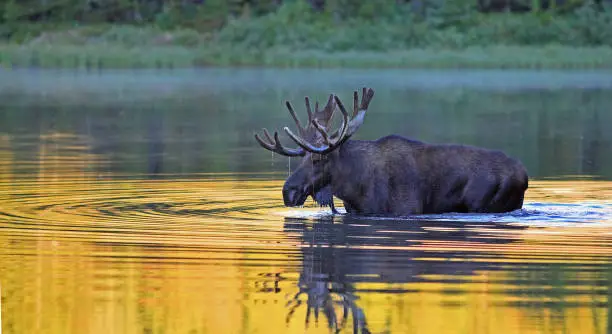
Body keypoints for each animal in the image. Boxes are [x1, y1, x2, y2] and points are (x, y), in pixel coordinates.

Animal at [251, 87, 528, 217]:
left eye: (319, 157)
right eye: (303, 157)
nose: (288, 191)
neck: (354, 189)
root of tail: (525, 176)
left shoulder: (405, 209)